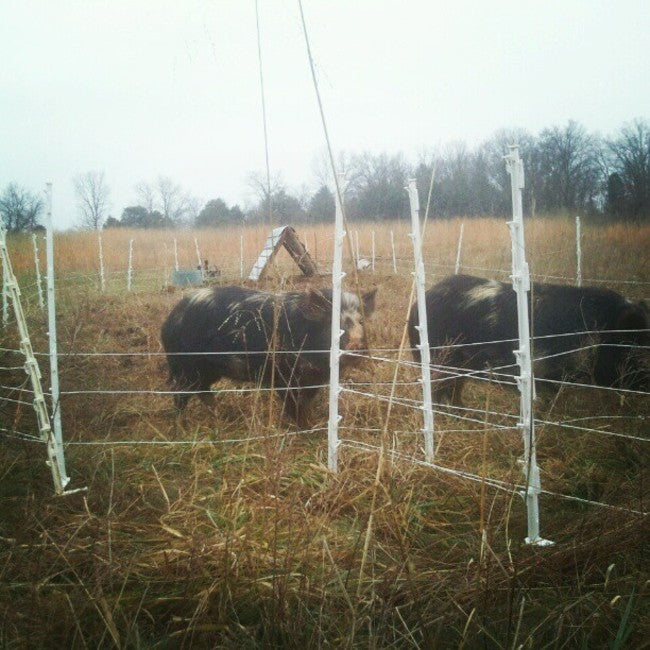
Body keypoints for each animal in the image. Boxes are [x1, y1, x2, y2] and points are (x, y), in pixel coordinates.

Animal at [159, 284, 378, 420]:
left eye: (361, 321)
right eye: (333, 325)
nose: (357, 345)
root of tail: (170, 320)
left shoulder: (311, 381)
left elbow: (305, 403)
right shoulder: (284, 377)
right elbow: (294, 406)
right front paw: (304, 429)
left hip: (208, 370)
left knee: (203, 391)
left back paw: (217, 416)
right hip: (186, 367)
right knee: (180, 393)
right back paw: (182, 426)